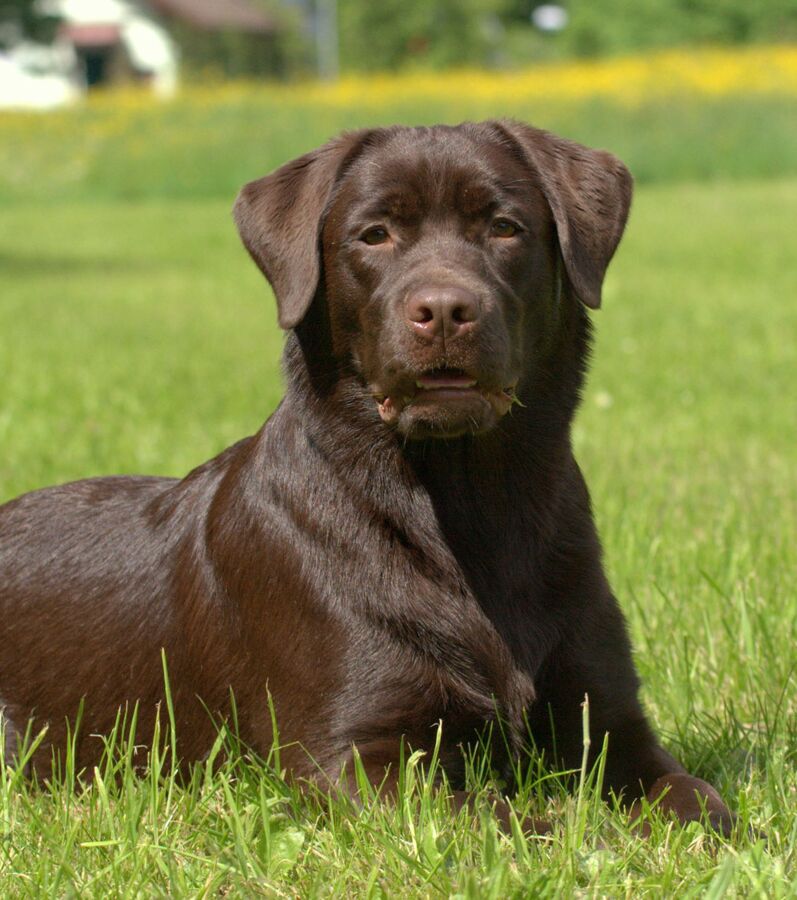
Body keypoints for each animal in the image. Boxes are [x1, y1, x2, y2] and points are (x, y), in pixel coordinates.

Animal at [0, 121, 732, 836]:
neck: (469, 507)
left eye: (504, 226)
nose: (444, 309)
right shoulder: (352, 756)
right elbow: (516, 824)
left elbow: (698, 802)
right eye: (374, 234)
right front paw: (587, 832)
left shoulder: (610, 724)